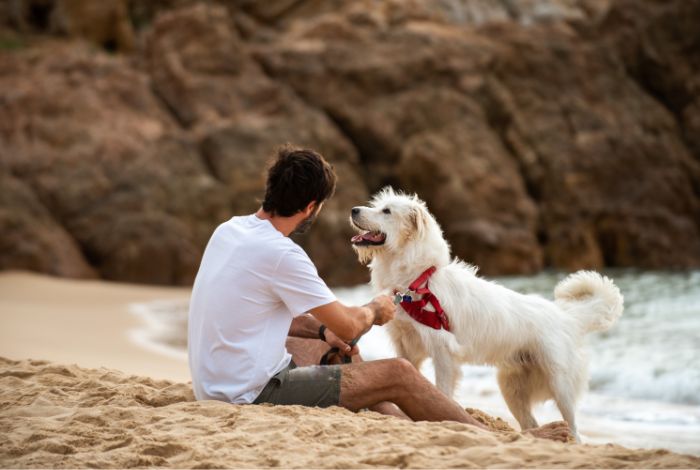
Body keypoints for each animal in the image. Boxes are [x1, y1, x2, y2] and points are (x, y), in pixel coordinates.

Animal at [350, 188, 624, 440]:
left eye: (386, 211)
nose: (353, 210)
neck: (419, 282)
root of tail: (567, 316)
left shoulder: (443, 353)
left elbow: (442, 392)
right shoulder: (406, 348)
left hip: (560, 384)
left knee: (575, 429)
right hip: (512, 388)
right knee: (530, 424)